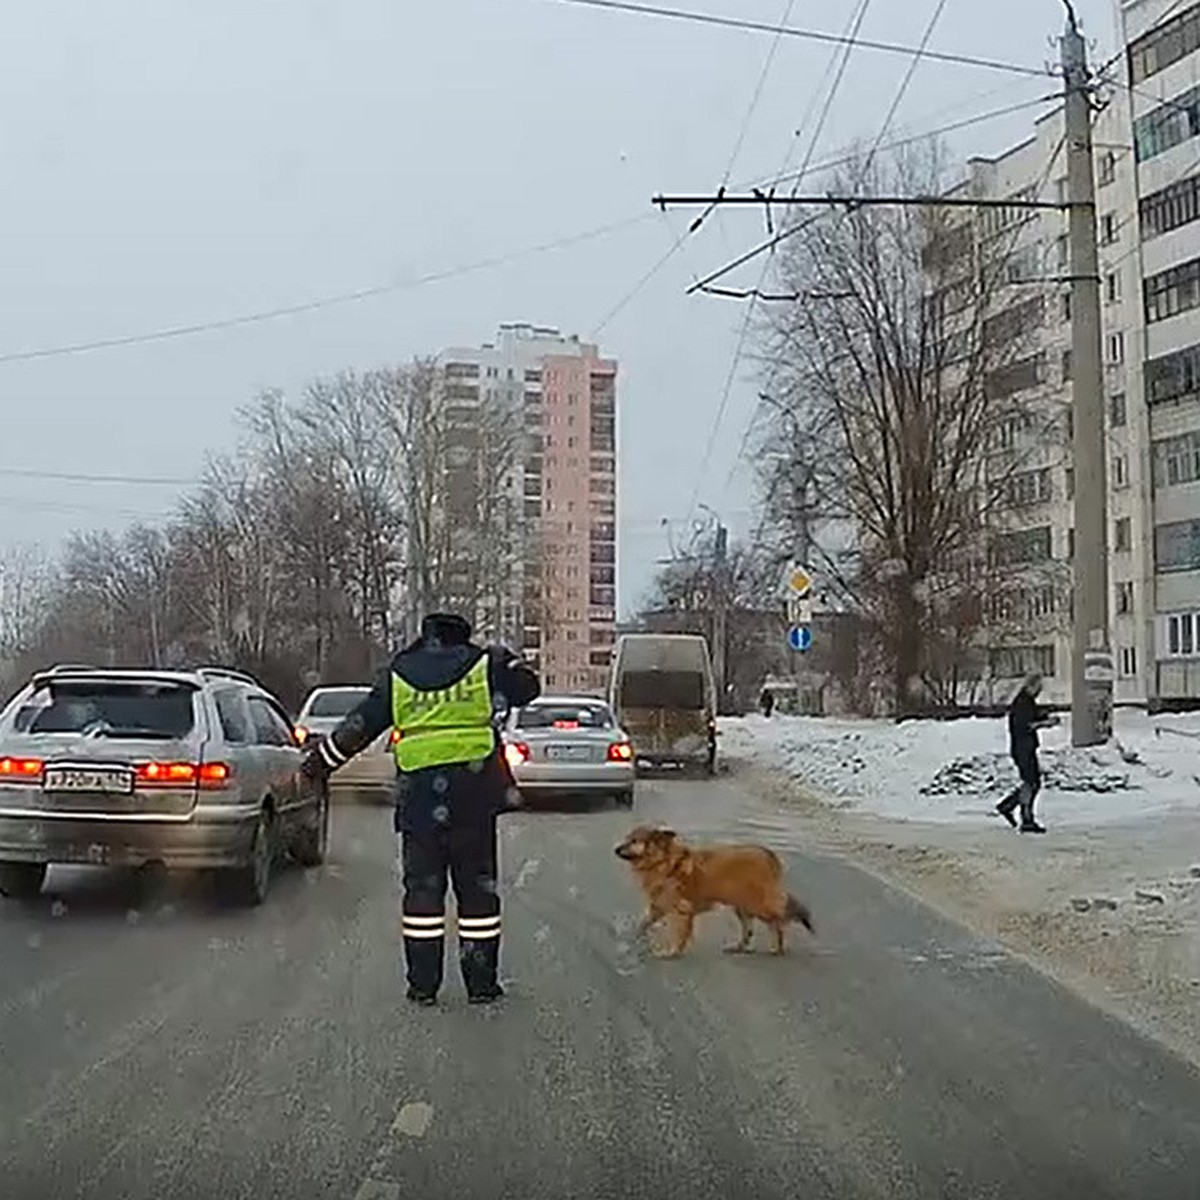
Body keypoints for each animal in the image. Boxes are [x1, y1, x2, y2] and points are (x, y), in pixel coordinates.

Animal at [609, 825, 816, 955]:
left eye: (634, 841)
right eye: (628, 839)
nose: (615, 850)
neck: (662, 862)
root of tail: (768, 853)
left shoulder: (680, 910)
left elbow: (678, 934)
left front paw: (671, 952)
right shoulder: (658, 906)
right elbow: (643, 923)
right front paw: (633, 938)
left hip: (757, 904)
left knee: (778, 921)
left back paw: (777, 948)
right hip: (742, 906)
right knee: (748, 929)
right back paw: (738, 948)